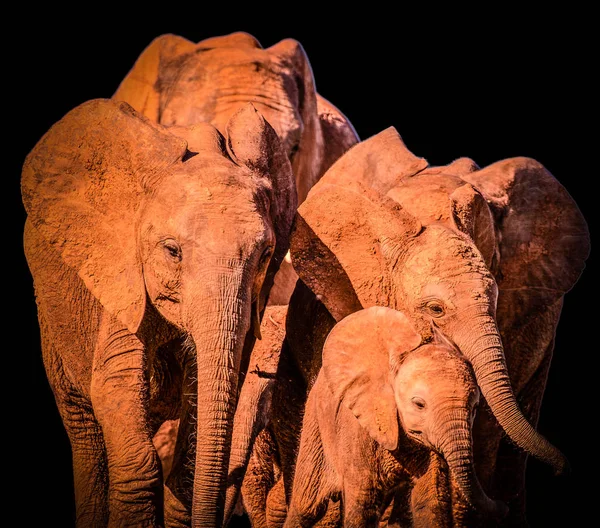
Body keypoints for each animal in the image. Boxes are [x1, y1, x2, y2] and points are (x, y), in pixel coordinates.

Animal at [286, 308, 506, 524]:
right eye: (419, 404)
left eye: (475, 408)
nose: (503, 505)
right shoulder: (359, 430)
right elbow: (362, 506)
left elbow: (430, 501)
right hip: (315, 426)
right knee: (304, 506)